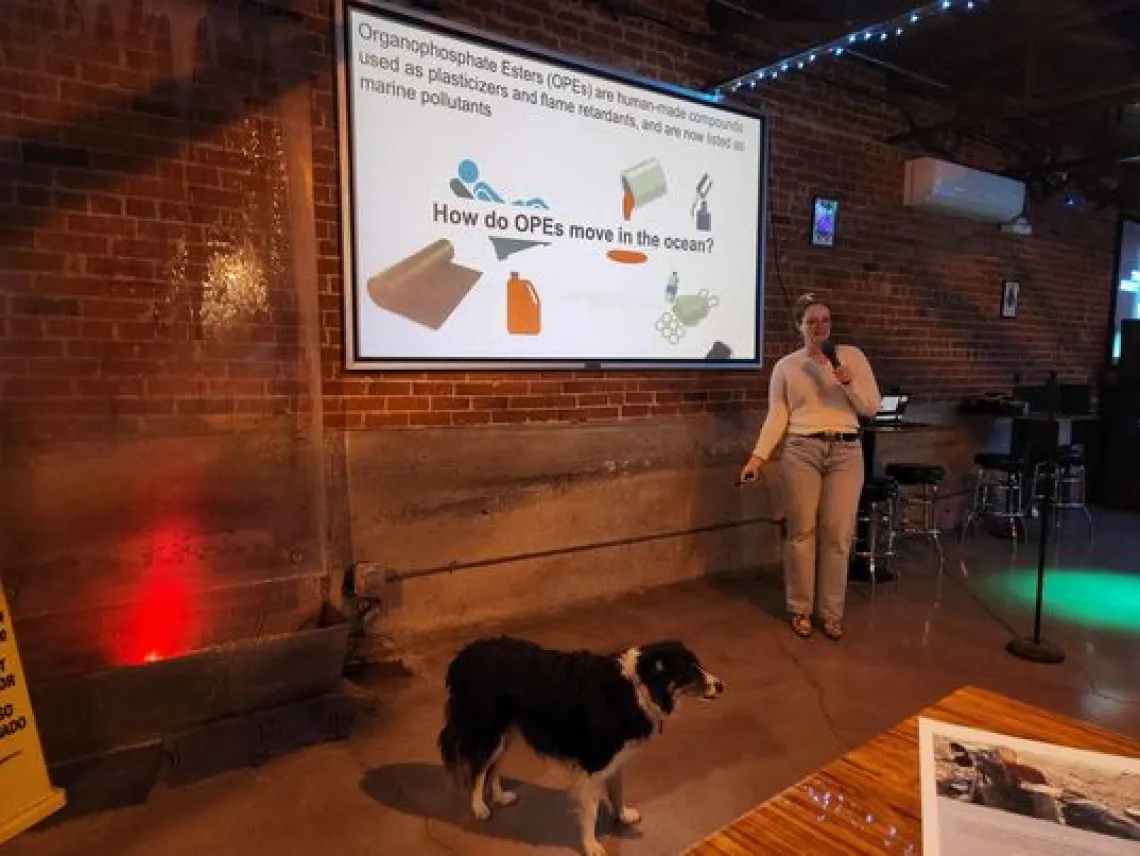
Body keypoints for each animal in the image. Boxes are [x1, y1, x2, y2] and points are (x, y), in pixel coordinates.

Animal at [435, 638, 720, 856]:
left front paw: (622, 816)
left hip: (508, 732)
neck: (638, 687)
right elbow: (591, 812)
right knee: (478, 769)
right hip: (489, 731)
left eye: (698, 666)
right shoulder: (594, 764)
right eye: (690, 671)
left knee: (494, 766)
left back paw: (499, 796)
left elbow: (618, 792)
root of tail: (466, 655)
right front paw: (591, 845)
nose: (722, 685)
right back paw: (479, 807)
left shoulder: (615, 760)